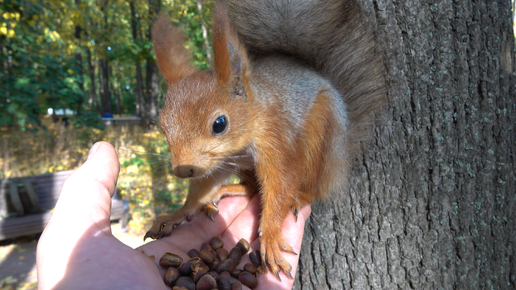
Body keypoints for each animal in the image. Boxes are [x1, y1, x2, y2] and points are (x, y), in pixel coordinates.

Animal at [143, 0, 384, 280]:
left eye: (219, 124)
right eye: (163, 126)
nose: (183, 170)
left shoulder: (275, 139)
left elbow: (280, 184)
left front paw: (270, 236)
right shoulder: (217, 161)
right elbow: (203, 185)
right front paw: (176, 214)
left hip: (321, 137)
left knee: (317, 187)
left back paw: (301, 196)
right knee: (252, 188)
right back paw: (226, 191)